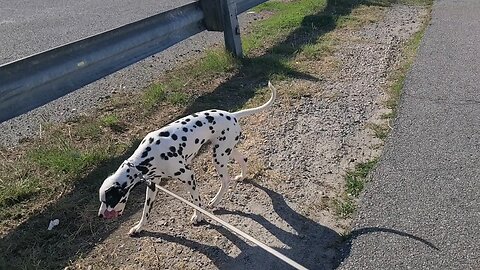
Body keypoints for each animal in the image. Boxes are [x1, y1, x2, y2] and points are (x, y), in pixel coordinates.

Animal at [99, 81, 276, 235]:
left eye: (109, 200)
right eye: (102, 200)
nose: (100, 215)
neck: (146, 158)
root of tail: (232, 115)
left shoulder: (188, 176)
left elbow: (196, 200)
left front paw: (198, 216)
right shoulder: (153, 184)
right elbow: (146, 211)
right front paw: (139, 227)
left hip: (218, 156)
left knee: (225, 181)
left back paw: (215, 201)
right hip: (226, 150)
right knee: (243, 159)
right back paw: (242, 176)